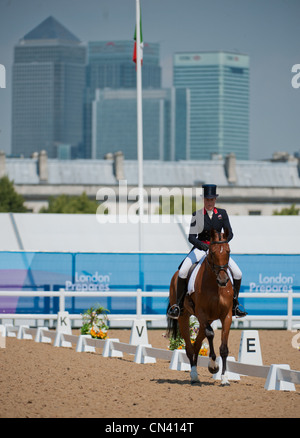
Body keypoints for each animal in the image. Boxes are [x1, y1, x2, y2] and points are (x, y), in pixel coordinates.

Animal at [168, 228, 233, 384]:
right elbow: (211, 335)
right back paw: (193, 375)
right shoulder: (201, 313)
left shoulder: (226, 315)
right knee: (189, 346)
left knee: (196, 344)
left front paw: (224, 378)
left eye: (228, 251)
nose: (223, 280)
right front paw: (213, 366)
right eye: (212, 253)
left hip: (208, 319)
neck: (215, 286)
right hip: (184, 317)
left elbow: (224, 348)